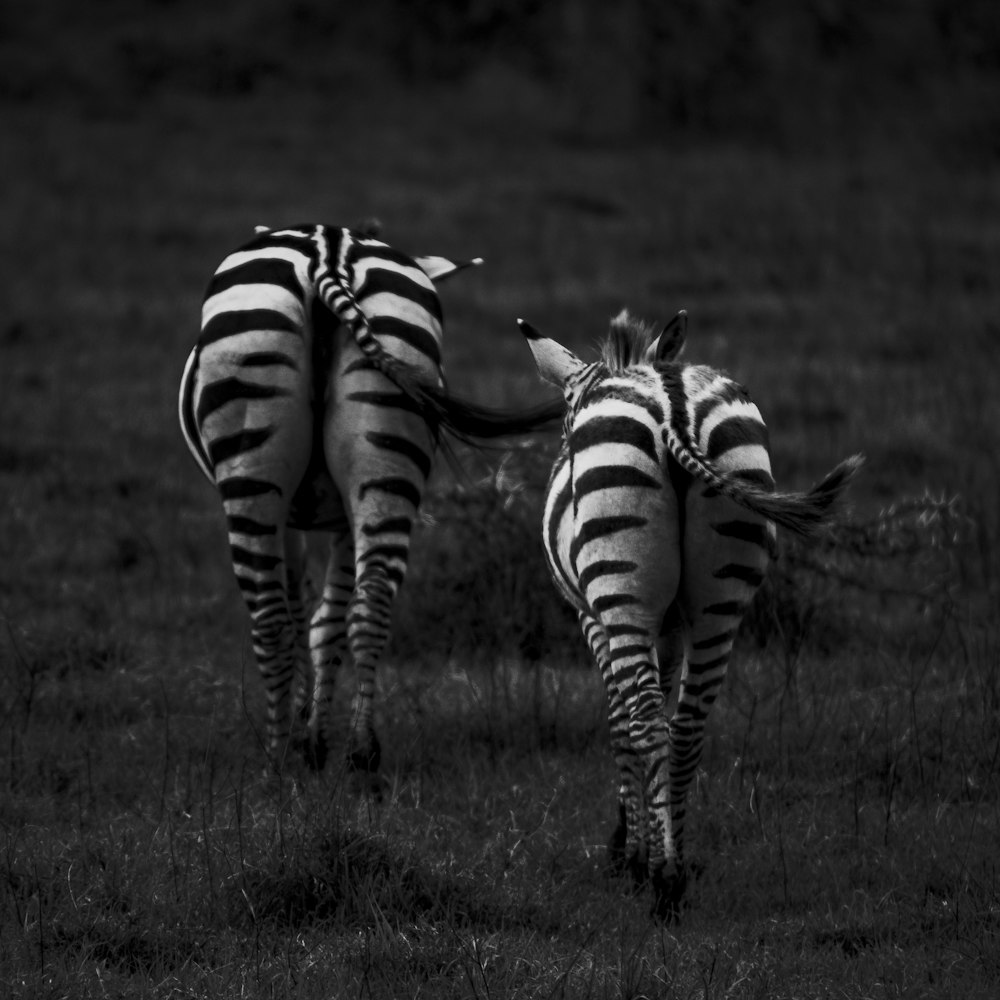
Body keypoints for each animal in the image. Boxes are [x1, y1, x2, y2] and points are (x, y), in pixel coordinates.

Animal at [180, 223, 564, 784]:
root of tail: (328, 250)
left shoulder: (297, 518)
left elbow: (303, 612)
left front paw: (304, 736)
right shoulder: (343, 516)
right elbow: (328, 623)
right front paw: (316, 739)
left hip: (253, 468)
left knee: (271, 618)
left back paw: (276, 762)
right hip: (388, 455)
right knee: (372, 603)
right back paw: (361, 753)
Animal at [520, 310, 864, 920]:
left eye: (564, 425)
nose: (563, 447)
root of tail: (671, 405)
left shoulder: (595, 619)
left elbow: (619, 725)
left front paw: (627, 852)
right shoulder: (672, 627)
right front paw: (642, 838)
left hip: (622, 590)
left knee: (649, 723)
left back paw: (661, 880)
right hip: (720, 596)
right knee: (686, 728)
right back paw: (674, 874)